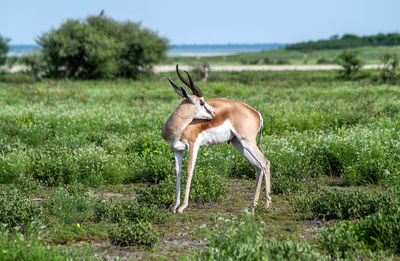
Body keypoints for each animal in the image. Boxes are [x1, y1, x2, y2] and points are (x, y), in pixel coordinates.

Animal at [162, 64, 272, 212]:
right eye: (202, 102)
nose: (214, 113)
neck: (177, 128)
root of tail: (257, 113)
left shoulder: (193, 145)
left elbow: (189, 171)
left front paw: (182, 207)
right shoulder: (177, 149)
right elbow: (178, 172)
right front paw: (174, 206)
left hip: (248, 141)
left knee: (265, 163)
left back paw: (267, 206)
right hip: (238, 143)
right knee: (257, 166)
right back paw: (253, 205)